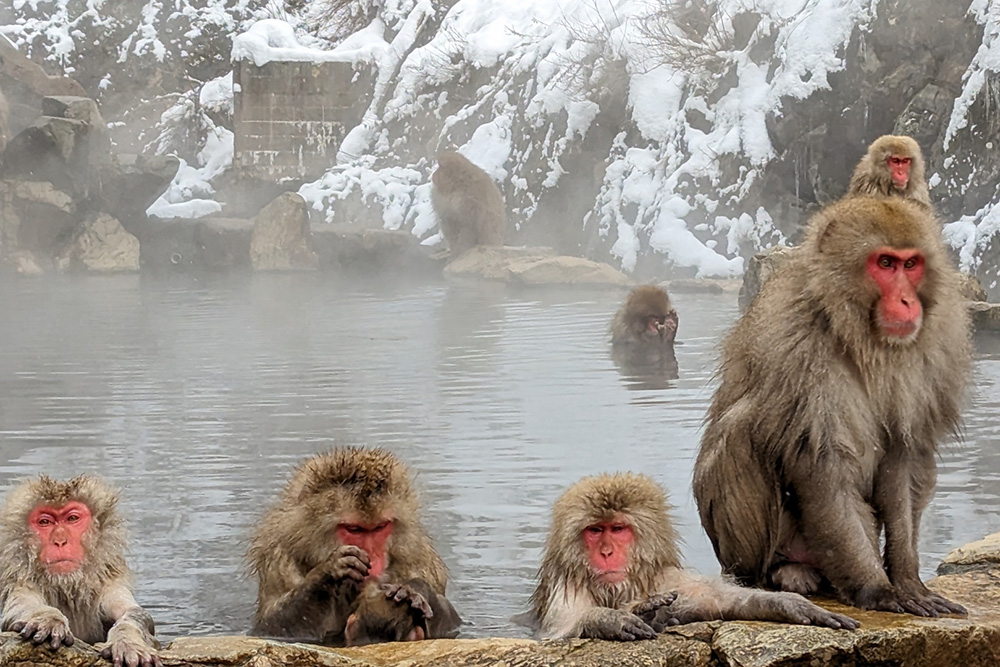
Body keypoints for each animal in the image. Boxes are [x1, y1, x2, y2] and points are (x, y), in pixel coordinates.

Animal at [0, 476, 161, 667]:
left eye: (72, 518)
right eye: (45, 522)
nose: (60, 541)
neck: (67, 587)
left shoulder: (107, 581)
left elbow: (135, 613)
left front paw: (127, 640)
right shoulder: (20, 578)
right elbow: (21, 606)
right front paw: (48, 619)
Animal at [247, 447, 461, 645]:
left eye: (380, 527)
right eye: (354, 529)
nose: (373, 559)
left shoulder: (418, 558)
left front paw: (415, 589)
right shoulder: (279, 558)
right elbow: (271, 627)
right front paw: (331, 570)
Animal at [529, 472, 859, 640]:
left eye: (618, 529)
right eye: (595, 531)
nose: (606, 552)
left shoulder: (666, 578)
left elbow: (720, 601)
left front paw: (788, 604)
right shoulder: (565, 586)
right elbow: (560, 630)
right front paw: (613, 619)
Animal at [693, 196, 971, 618]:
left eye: (911, 264)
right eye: (884, 263)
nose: (907, 301)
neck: (858, 332)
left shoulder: (934, 348)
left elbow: (904, 456)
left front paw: (908, 581)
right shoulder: (799, 347)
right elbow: (824, 463)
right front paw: (877, 589)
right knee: (742, 428)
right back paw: (777, 573)